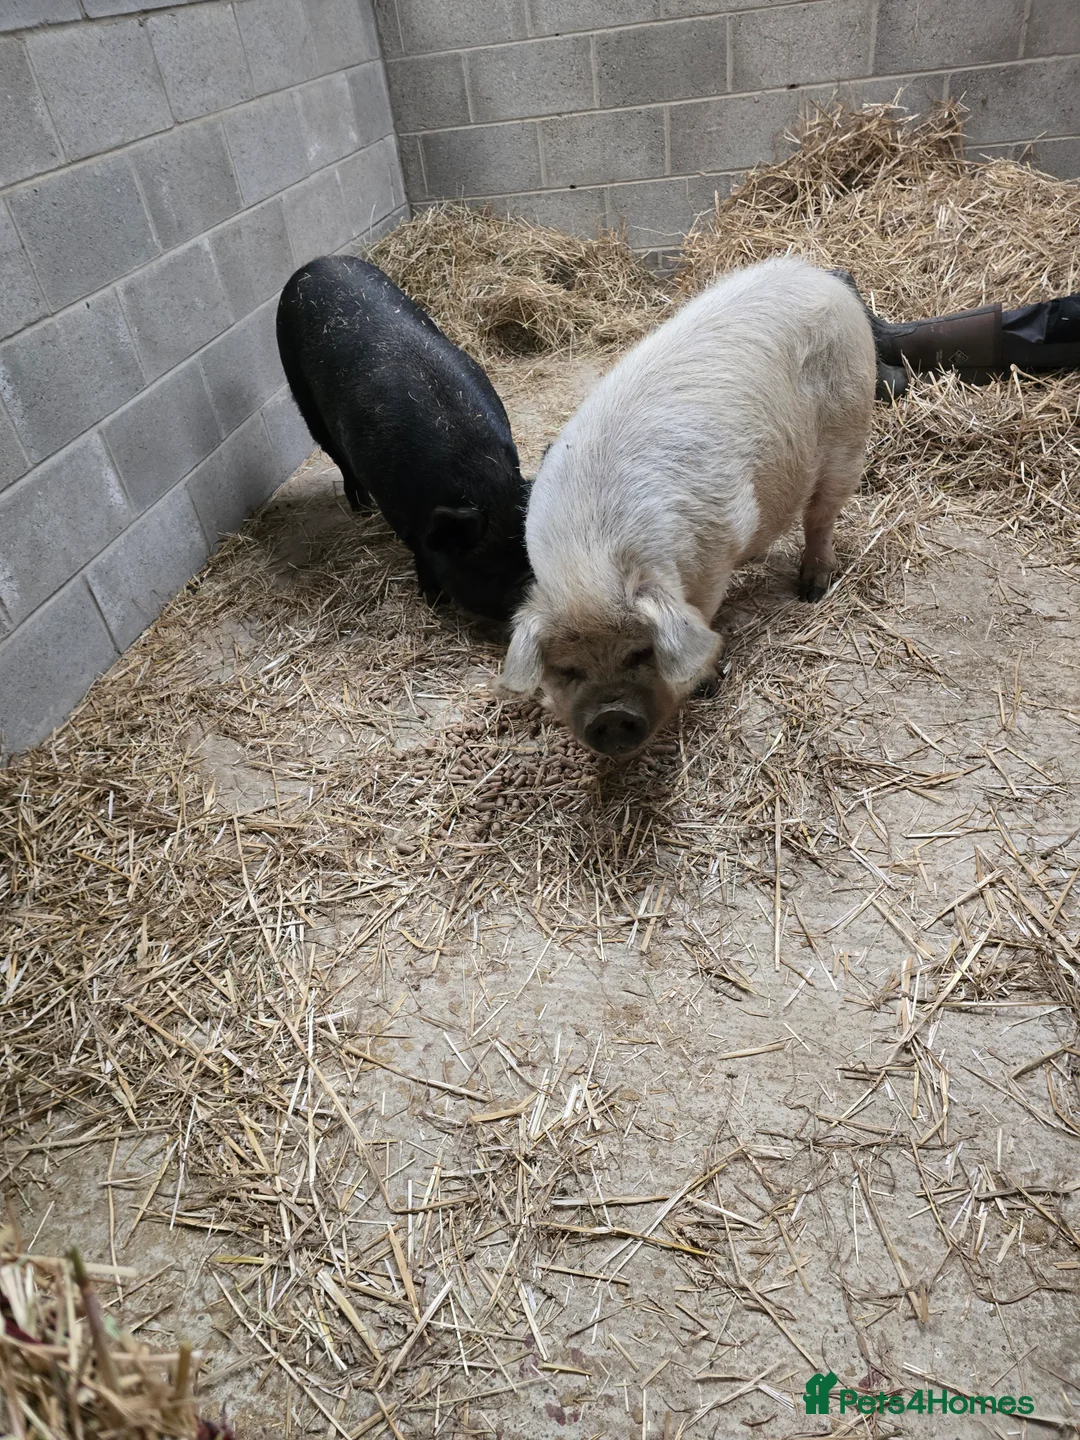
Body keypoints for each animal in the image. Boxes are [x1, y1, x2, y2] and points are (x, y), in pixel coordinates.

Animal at [276, 255, 531, 621]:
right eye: (492, 571)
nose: (531, 587)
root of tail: (317, 262)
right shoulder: (395, 506)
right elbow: (418, 549)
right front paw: (432, 597)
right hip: (301, 392)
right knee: (336, 456)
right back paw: (361, 508)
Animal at [499, 255, 876, 757]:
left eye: (641, 652)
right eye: (568, 669)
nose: (611, 717)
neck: (590, 555)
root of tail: (815, 273)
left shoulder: (716, 548)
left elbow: (705, 617)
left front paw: (708, 683)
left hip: (849, 428)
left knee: (822, 514)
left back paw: (812, 588)